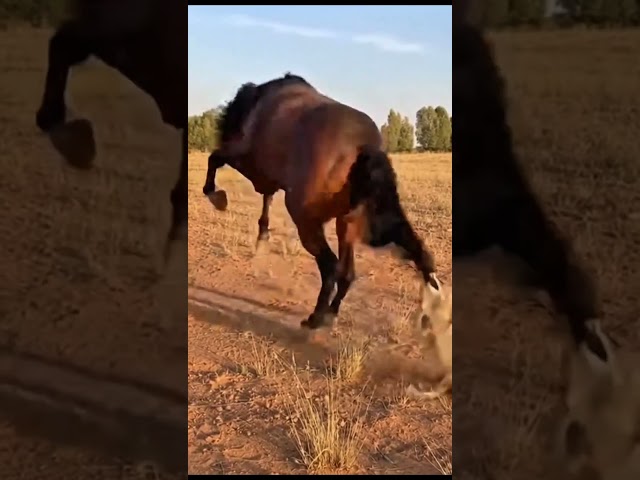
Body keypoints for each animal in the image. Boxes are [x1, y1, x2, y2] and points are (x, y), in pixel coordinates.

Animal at [203, 73, 442, 330]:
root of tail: (363, 145)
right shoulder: (268, 178)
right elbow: (263, 198)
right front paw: (262, 239)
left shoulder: (248, 161)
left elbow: (215, 159)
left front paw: (218, 198)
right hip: (346, 222)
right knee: (347, 272)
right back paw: (330, 314)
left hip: (305, 219)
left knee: (330, 267)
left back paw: (315, 318)